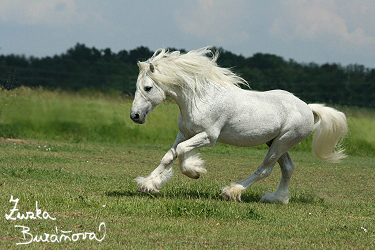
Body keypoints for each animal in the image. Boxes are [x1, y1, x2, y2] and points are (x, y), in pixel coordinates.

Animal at [130, 46, 350, 203]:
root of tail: (308, 108)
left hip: (282, 142)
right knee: (288, 168)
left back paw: (232, 191)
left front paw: (195, 171)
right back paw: (276, 198)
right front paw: (148, 184)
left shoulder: (209, 136)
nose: (135, 115)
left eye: (148, 88)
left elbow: (183, 151)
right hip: (275, 142)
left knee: (265, 169)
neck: (199, 98)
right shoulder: (184, 133)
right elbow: (169, 156)